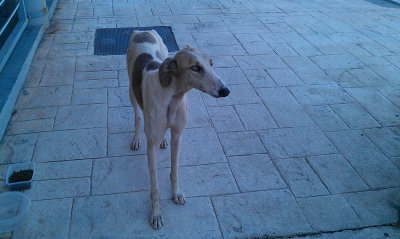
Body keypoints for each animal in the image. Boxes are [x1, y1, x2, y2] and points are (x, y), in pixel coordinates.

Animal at [126, 29, 230, 230]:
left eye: (211, 63)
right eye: (195, 68)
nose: (226, 91)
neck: (171, 96)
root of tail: (143, 31)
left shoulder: (178, 136)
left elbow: (174, 171)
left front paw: (176, 194)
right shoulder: (151, 147)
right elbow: (155, 186)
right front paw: (156, 214)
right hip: (131, 91)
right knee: (137, 115)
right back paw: (136, 138)